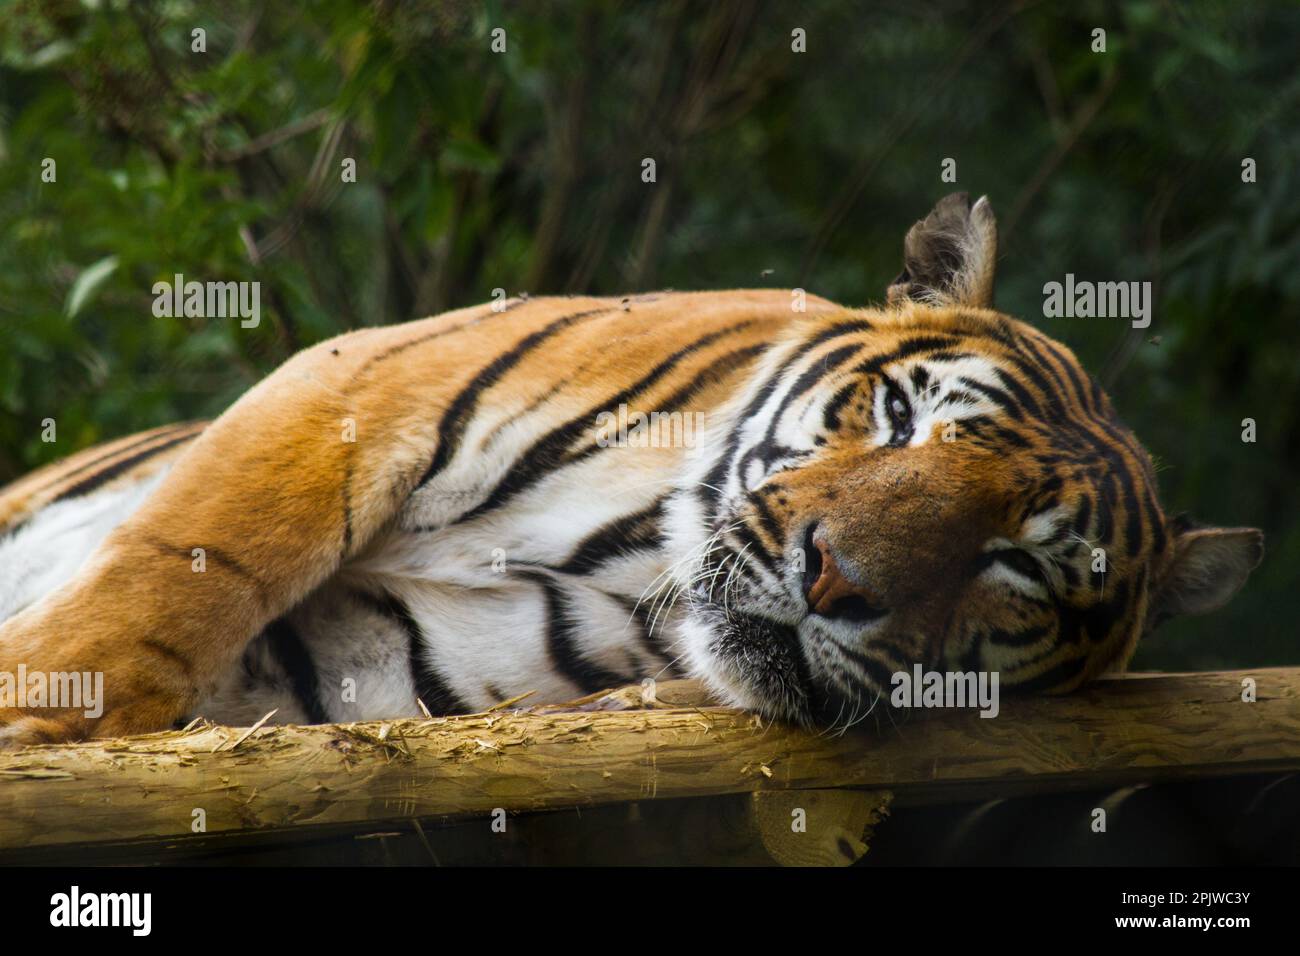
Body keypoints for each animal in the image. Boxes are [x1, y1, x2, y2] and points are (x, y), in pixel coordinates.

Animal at [0, 195, 1258, 749]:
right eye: (902, 418)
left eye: (1019, 568)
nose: (833, 579)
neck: (624, 561)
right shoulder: (356, 386)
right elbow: (169, 581)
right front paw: (33, 715)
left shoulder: (372, 666)